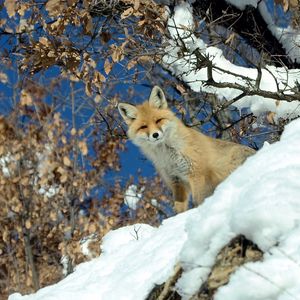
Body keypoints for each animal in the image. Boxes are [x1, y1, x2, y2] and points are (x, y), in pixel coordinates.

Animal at [117, 86, 255, 213]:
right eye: (143, 127)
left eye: (158, 120)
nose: (155, 135)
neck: (168, 155)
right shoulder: (176, 181)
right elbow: (179, 210)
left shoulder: (197, 174)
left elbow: (198, 202)